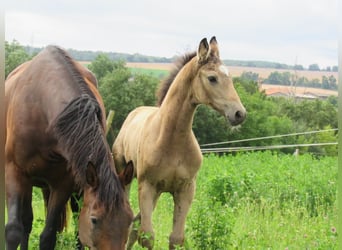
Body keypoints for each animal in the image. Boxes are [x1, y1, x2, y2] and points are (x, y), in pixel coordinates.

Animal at [5, 46, 134, 249]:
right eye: (94, 220)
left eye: (130, 220)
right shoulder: (14, 172)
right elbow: (13, 231)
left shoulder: (63, 183)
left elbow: (49, 235)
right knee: (26, 221)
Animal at [113, 36, 247, 249]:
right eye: (212, 78)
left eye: (230, 77)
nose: (239, 114)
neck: (171, 140)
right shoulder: (147, 185)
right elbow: (147, 236)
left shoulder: (185, 189)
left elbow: (176, 238)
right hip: (126, 175)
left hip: (158, 192)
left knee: (134, 225)